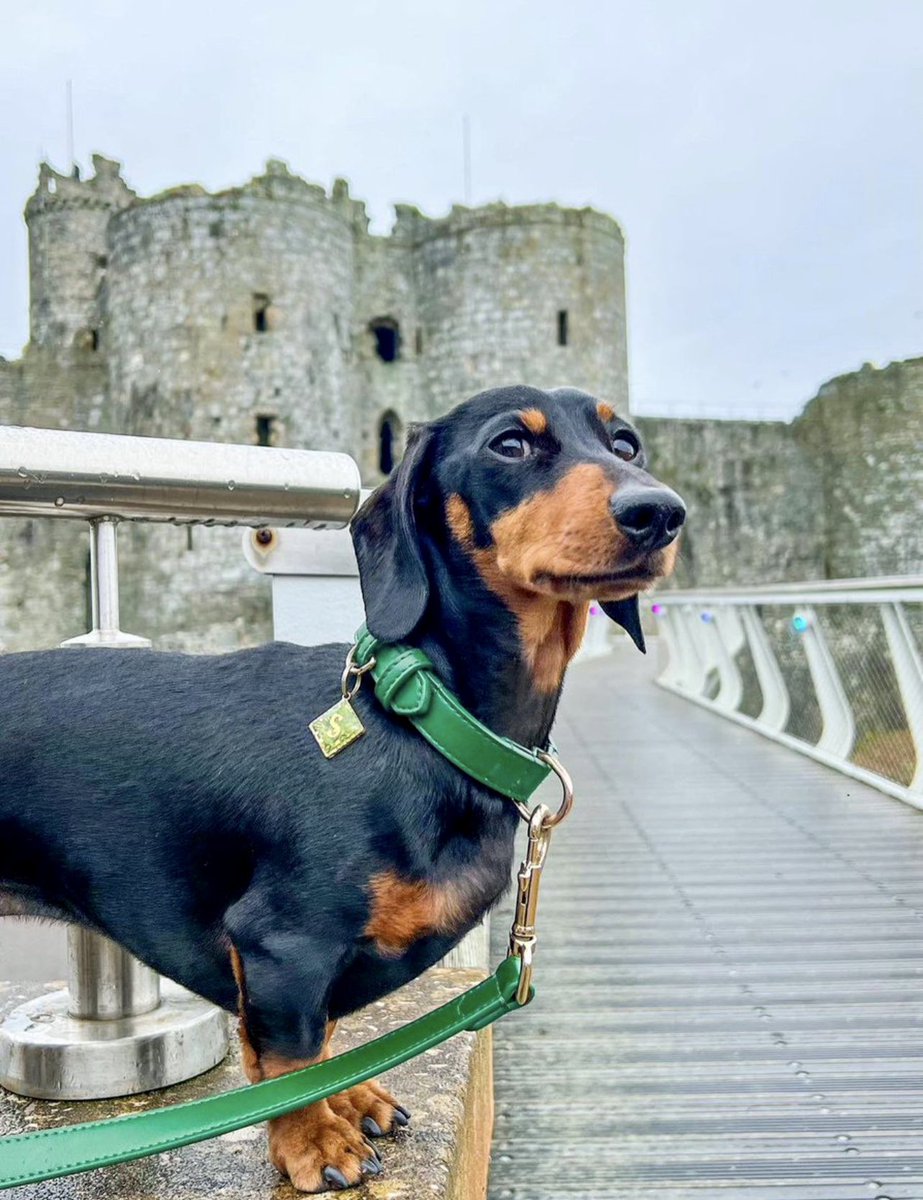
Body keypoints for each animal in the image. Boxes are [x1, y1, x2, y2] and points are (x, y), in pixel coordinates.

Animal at [0, 386, 676, 1190]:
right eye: (510, 444)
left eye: (626, 443)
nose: (660, 512)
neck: (419, 720)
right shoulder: (281, 942)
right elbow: (291, 1055)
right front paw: (314, 1141)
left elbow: (320, 1034)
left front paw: (347, 1096)